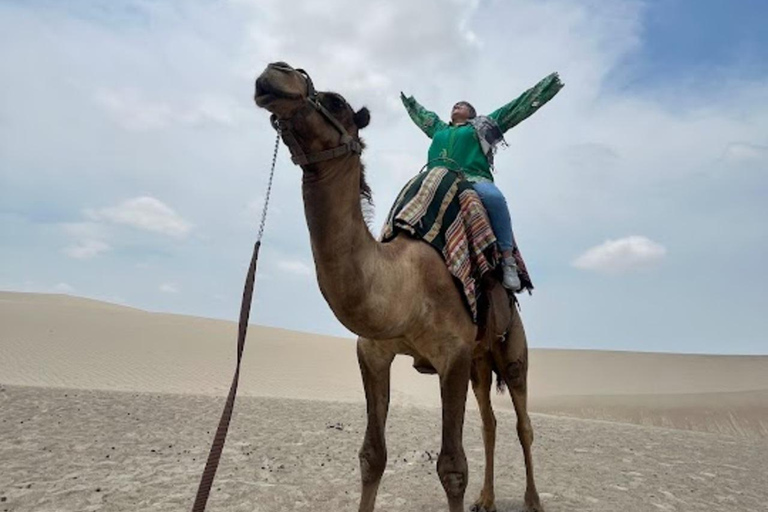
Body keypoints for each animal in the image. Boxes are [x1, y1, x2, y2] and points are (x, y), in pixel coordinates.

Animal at [254, 61, 543, 512]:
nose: (275, 71)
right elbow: (372, 455)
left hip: (512, 350)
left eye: (336, 101)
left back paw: (533, 500)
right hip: (480, 362)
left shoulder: (453, 355)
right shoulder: (373, 351)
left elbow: (452, 467)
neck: (404, 282)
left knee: (523, 423)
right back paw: (486, 499)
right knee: (490, 422)